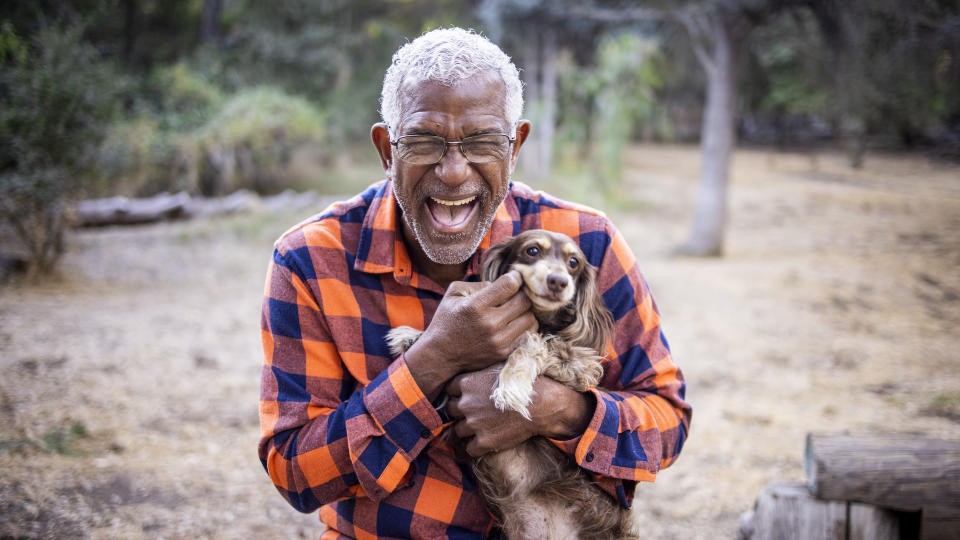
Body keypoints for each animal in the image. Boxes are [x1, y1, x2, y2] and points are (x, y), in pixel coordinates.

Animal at [386, 230, 632, 536]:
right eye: (532, 250)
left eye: (573, 262)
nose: (558, 282)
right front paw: (412, 336)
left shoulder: (581, 365)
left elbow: (531, 343)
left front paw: (510, 387)